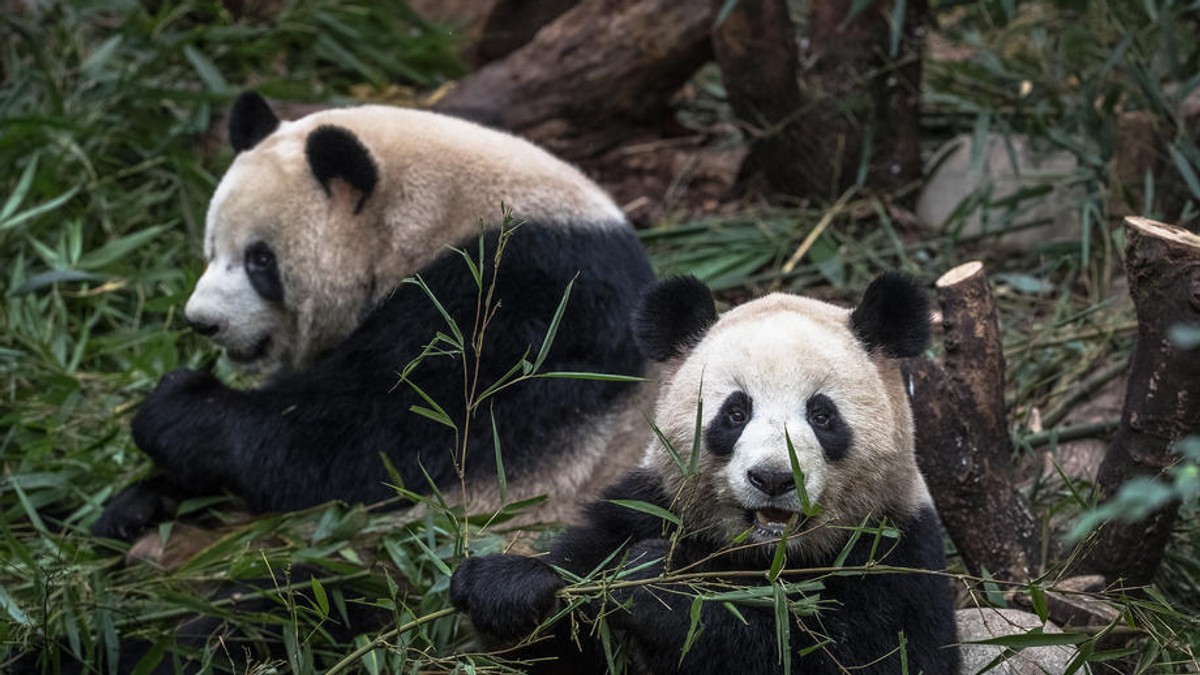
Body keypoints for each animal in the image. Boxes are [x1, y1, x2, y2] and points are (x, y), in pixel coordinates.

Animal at [93, 91, 656, 542]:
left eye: (260, 261)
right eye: (212, 248)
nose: (203, 322)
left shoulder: (526, 299)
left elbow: (368, 438)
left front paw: (176, 404)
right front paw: (136, 500)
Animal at [450, 272, 960, 675]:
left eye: (822, 415)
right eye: (734, 413)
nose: (774, 479)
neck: (769, 556)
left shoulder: (893, 554)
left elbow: (866, 656)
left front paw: (656, 583)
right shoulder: (649, 503)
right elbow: (564, 630)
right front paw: (508, 589)